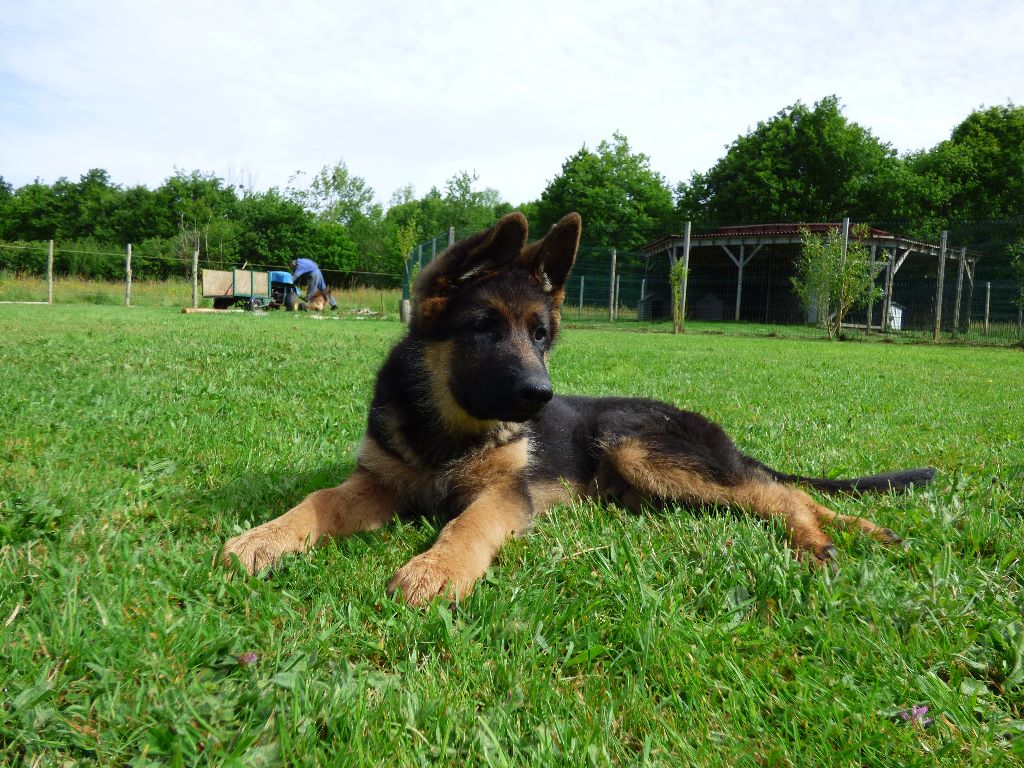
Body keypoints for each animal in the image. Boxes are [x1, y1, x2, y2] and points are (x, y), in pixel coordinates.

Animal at [224, 214, 937, 606]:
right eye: (483, 328)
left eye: (541, 335)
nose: (541, 398)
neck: (446, 430)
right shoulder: (376, 481)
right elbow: (318, 500)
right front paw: (263, 539)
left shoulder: (505, 497)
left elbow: (466, 526)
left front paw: (436, 569)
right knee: (784, 492)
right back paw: (862, 531)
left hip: (638, 445)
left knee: (782, 495)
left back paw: (820, 542)